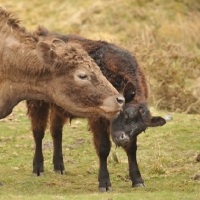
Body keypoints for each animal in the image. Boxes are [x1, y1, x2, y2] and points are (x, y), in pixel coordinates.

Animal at [25, 26, 165, 191]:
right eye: (124, 114)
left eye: (141, 129)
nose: (123, 139)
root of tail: (41, 33)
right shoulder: (98, 119)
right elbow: (103, 148)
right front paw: (104, 182)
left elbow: (132, 149)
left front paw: (137, 180)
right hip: (37, 102)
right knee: (38, 132)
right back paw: (38, 168)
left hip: (59, 108)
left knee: (56, 131)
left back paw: (59, 166)